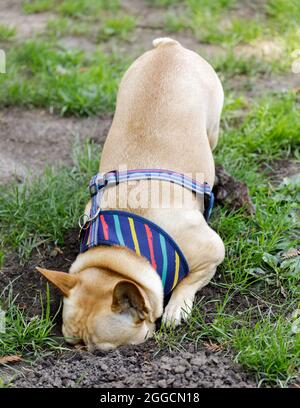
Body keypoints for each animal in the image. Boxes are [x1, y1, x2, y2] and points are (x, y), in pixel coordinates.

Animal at [37, 37, 225, 350]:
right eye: (73, 341)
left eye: (103, 352)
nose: (80, 353)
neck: (121, 256)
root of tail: (169, 46)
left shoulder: (212, 251)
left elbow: (191, 279)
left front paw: (176, 307)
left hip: (212, 126)